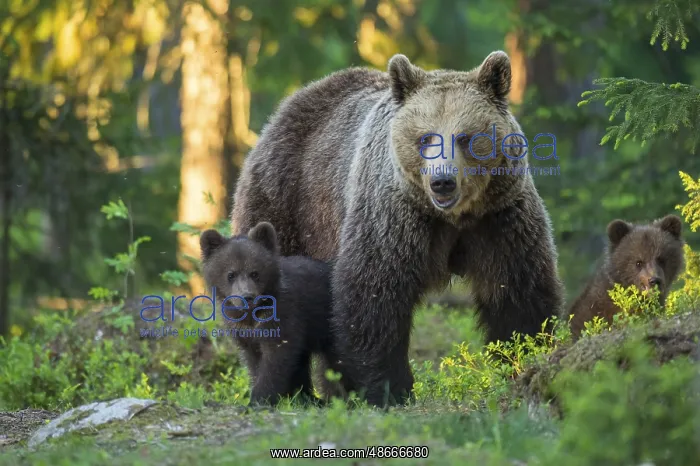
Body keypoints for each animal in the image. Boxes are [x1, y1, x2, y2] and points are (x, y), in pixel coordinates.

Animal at [199, 222, 346, 405]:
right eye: (231, 274)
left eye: (255, 273)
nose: (247, 296)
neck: (253, 315)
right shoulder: (242, 331)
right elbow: (255, 361)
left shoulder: (285, 316)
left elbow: (276, 360)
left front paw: (259, 398)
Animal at [230, 51, 564, 406]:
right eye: (426, 137)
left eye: (465, 137)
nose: (442, 181)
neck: (453, 218)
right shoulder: (393, 217)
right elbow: (376, 294)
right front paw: (390, 388)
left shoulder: (499, 219)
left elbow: (517, 293)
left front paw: (520, 359)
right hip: (288, 204)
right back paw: (292, 389)